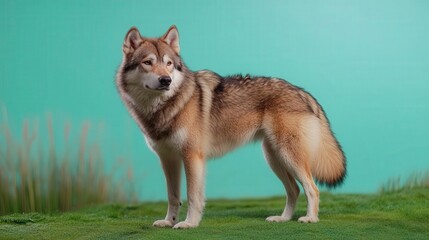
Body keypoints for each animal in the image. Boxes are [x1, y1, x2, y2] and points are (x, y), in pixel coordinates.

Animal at [115, 25, 346, 230]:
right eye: (147, 62)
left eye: (169, 63)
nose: (166, 80)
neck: (165, 107)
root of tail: (301, 91)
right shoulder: (169, 160)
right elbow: (173, 196)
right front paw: (168, 222)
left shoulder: (192, 157)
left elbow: (192, 196)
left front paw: (189, 224)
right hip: (275, 159)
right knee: (295, 190)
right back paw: (282, 219)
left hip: (289, 157)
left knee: (312, 188)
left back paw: (310, 219)